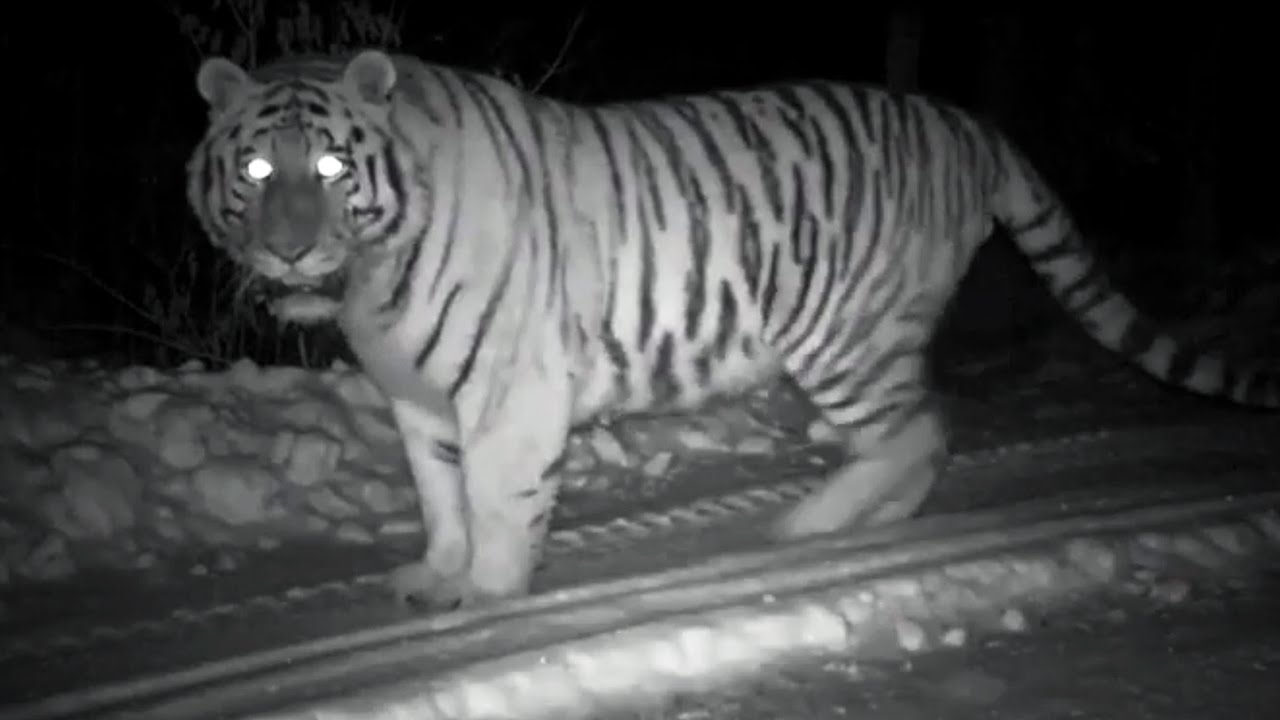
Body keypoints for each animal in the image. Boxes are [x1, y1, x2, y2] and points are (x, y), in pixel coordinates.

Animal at [186, 48, 1279, 611]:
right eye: (257, 169)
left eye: (332, 168)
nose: (289, 249)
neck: (371, 280)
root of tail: (966, 121)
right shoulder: (416, 394)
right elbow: (438, 495)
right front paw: (434, 575)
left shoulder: (508, 386)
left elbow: (496, 500)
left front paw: (490, 596)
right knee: (918, 431)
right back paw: (867, 520)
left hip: (842, 331)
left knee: (919, 427)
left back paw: (808, 527)